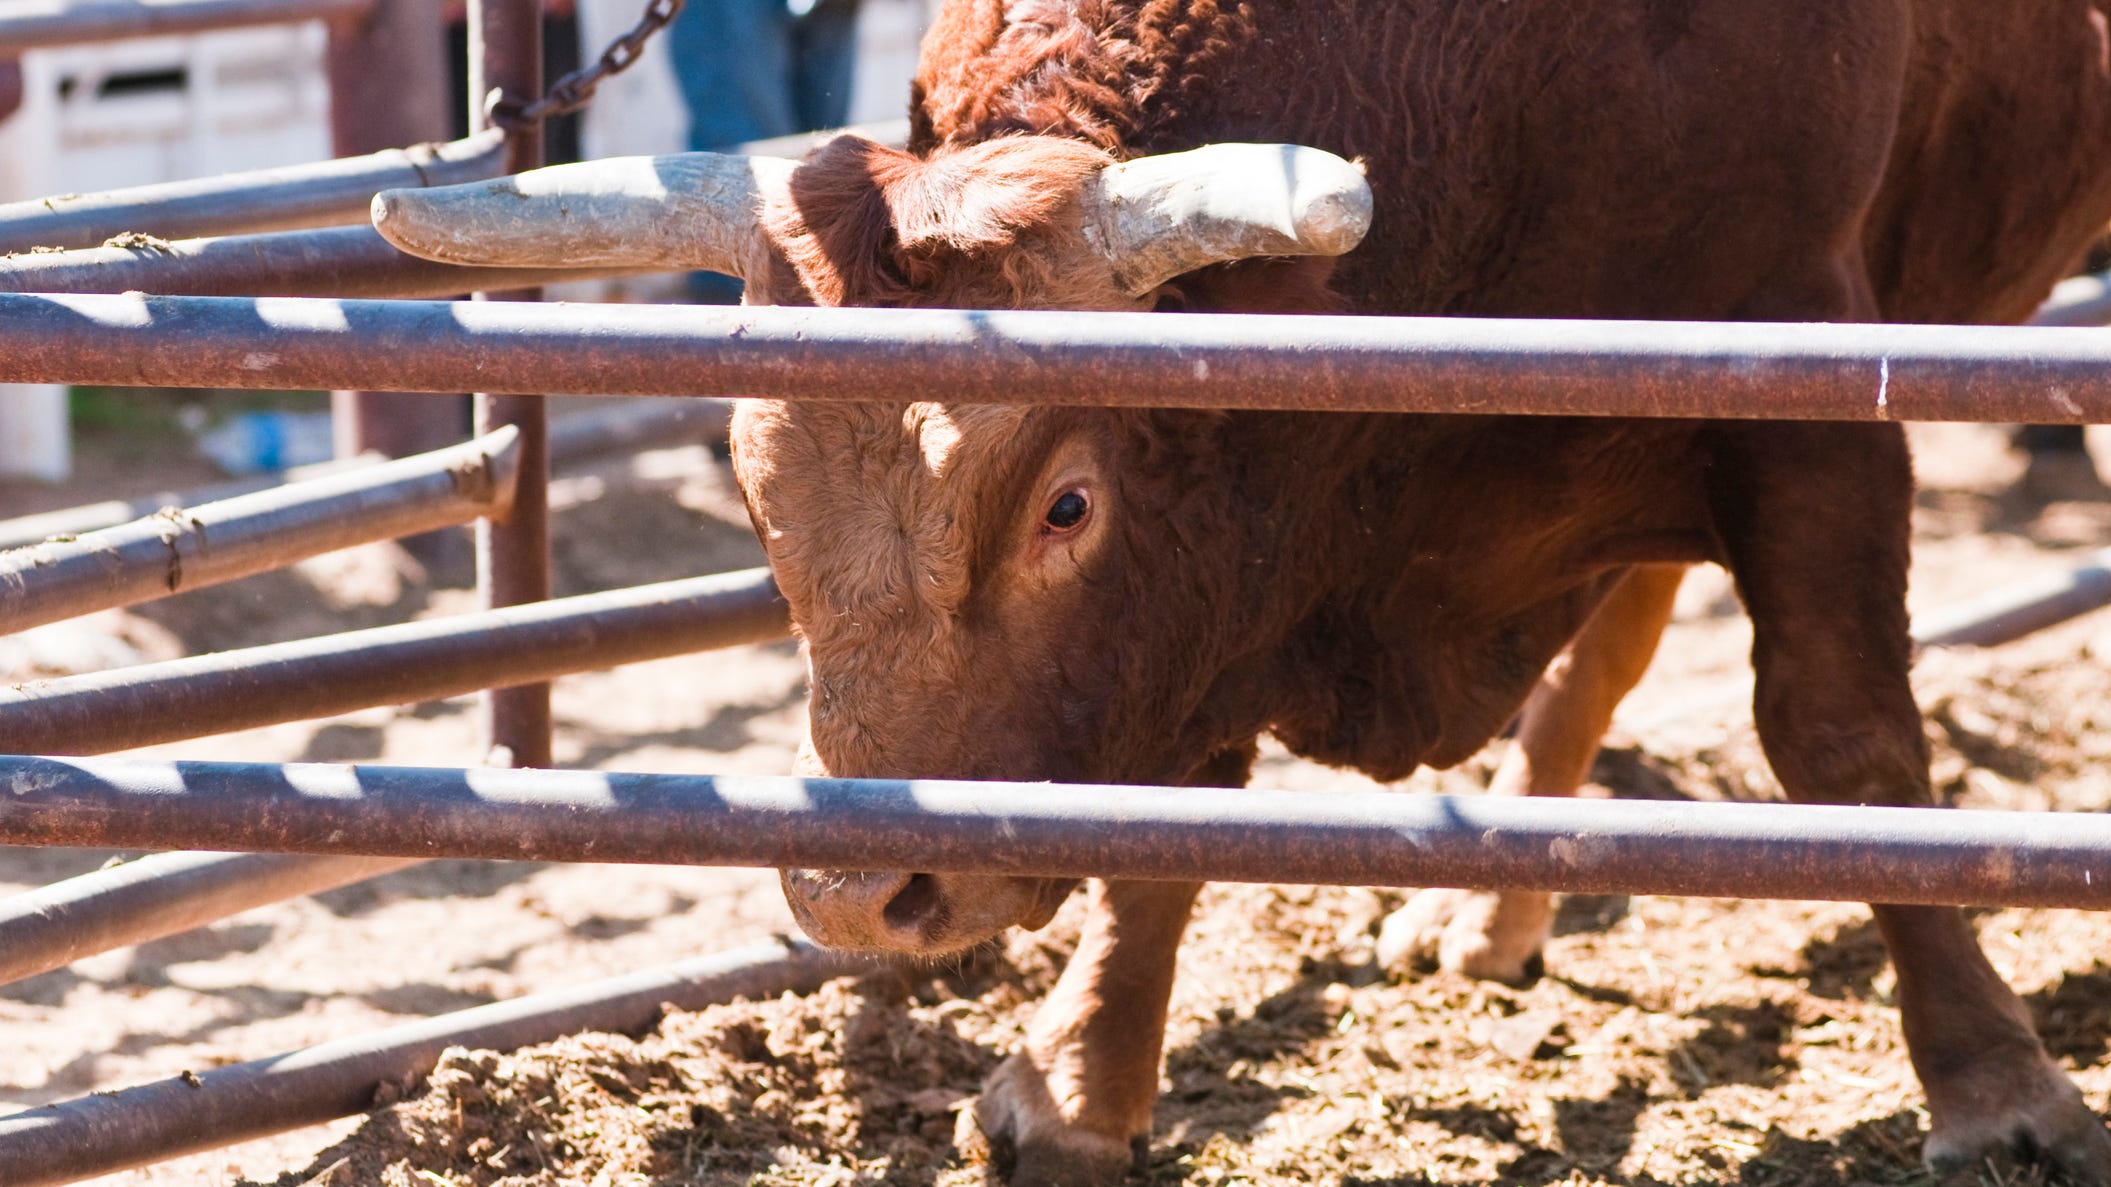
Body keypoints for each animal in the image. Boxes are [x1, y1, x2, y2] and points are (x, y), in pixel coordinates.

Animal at [372, 2, 2111, 1182]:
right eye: (748, 478)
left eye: (1065, 502)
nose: (858, 896)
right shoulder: (1218, 570)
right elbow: (1170, 809)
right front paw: (1081, 1081)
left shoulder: (1802, 388)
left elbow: (1844, 742)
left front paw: (1993, 1086)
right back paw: (1491, 905)